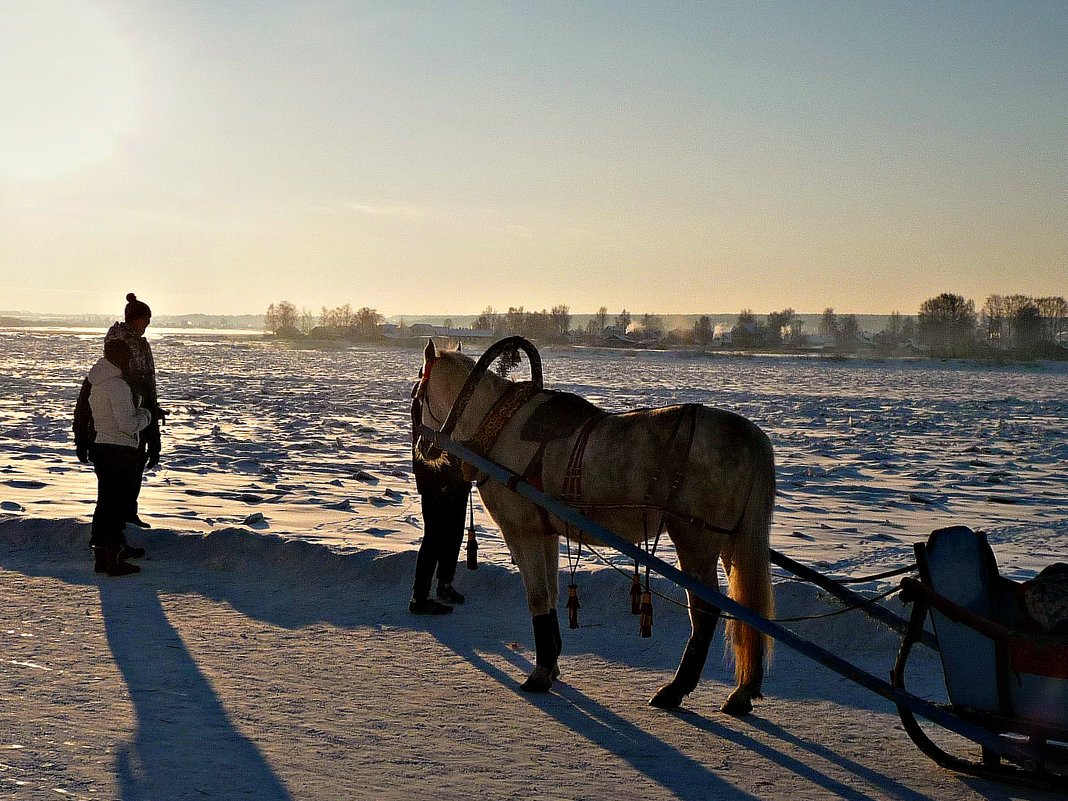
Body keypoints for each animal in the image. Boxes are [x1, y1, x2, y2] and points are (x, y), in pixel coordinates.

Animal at [414, 339, 777, 713]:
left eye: (418, 392)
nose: (423, 447)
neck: (499, 426)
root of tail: (750, 435)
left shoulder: (522, 532)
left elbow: (537, 597)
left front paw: (540, 673)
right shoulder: (544, 532)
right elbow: (551, 595)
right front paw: (552, 663)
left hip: (695, 539)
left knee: (706, 611)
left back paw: (676, 689)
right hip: (732, 542)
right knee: (749, 607)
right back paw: (743, 692)